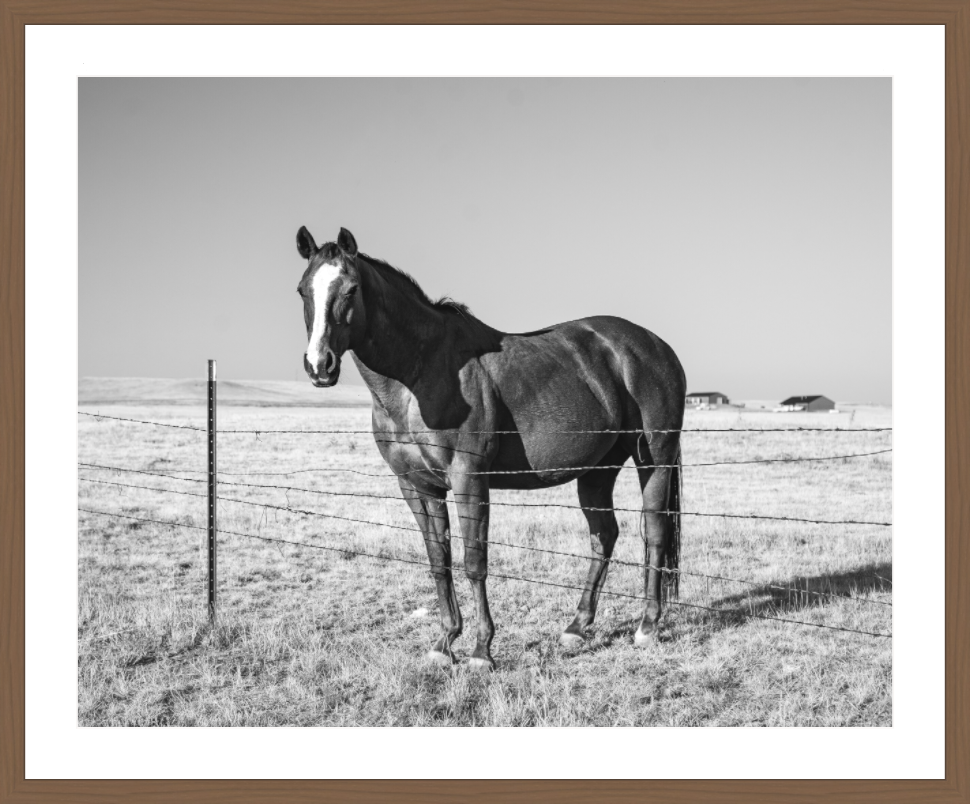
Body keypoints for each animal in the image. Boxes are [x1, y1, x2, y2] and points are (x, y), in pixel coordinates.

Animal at [295, 226, 686, 670]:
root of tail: (654, 345)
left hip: (654, 459)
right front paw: (445, 642)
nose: (319, 365)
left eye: (351, 289)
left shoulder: (470, 480)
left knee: (654, 533)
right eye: (303, 290)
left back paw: (647, 626)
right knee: (604, 536)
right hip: (597, 472)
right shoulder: (417, 486)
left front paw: (482, 651)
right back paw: (576, 627)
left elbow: (474, 562)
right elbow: (439, 561)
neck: (420, 373)